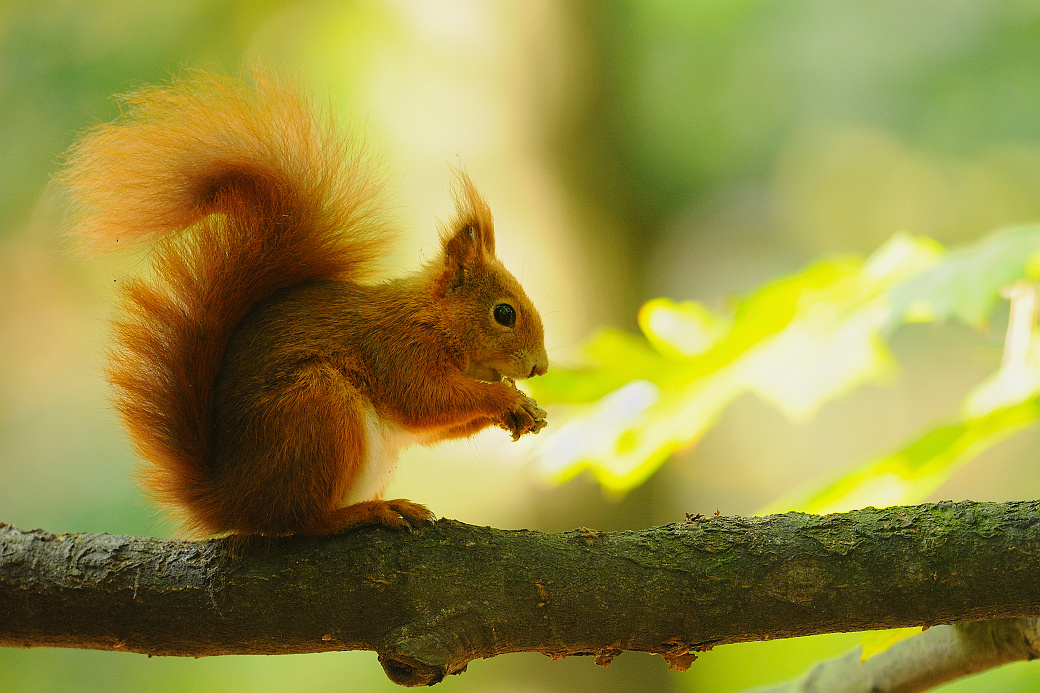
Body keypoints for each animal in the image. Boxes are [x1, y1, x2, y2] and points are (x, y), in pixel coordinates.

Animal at [62, 68, 553, 532]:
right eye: (504, 313)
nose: (539, 368)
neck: (435, 318)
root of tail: (230, 502)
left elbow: (434, 428)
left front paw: (522, 410)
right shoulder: (398, 350)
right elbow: (425, 400)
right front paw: (504, 400)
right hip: (318, 408)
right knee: (302, 522)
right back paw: (367, 512)